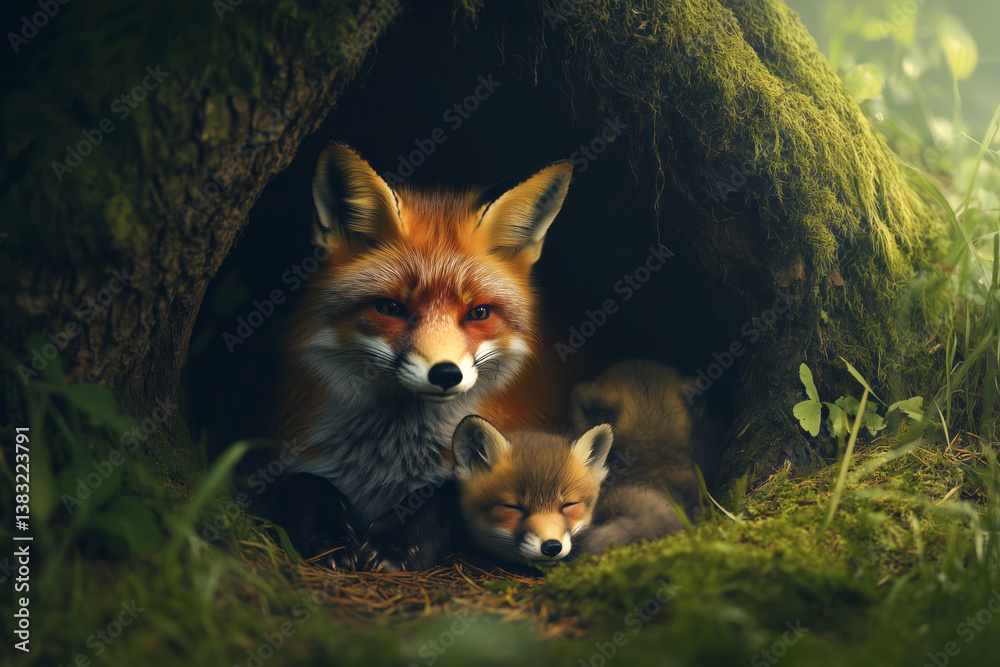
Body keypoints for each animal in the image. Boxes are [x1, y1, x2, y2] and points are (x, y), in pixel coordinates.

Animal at [271, 143, 574, 572]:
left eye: (478, 313)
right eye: (391, 308)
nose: (445, 374)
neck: (390, 455)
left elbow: (444, 495)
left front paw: (395, 544)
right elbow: (305, 483)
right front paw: (330, 537)